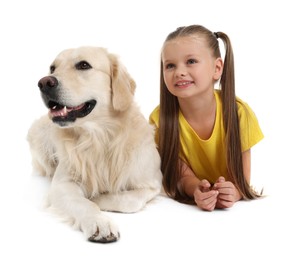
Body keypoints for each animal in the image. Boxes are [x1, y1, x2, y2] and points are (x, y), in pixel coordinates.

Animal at [27, 45, 162, 243]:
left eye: (84, 65)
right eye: (52, 68)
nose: (44, 82)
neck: (98, 138)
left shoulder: (153, 183)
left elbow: (130, 201)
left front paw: (98, 198)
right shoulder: (62, 184)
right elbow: (82, 203)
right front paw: (99, 221)